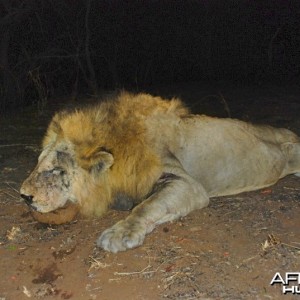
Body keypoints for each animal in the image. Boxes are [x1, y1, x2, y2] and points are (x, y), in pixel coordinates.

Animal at [19, 92, 298, 252]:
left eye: (56, 170)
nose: (24, 196)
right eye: (38, 163)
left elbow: (146, 206)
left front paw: (120, 234)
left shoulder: (187, 183)